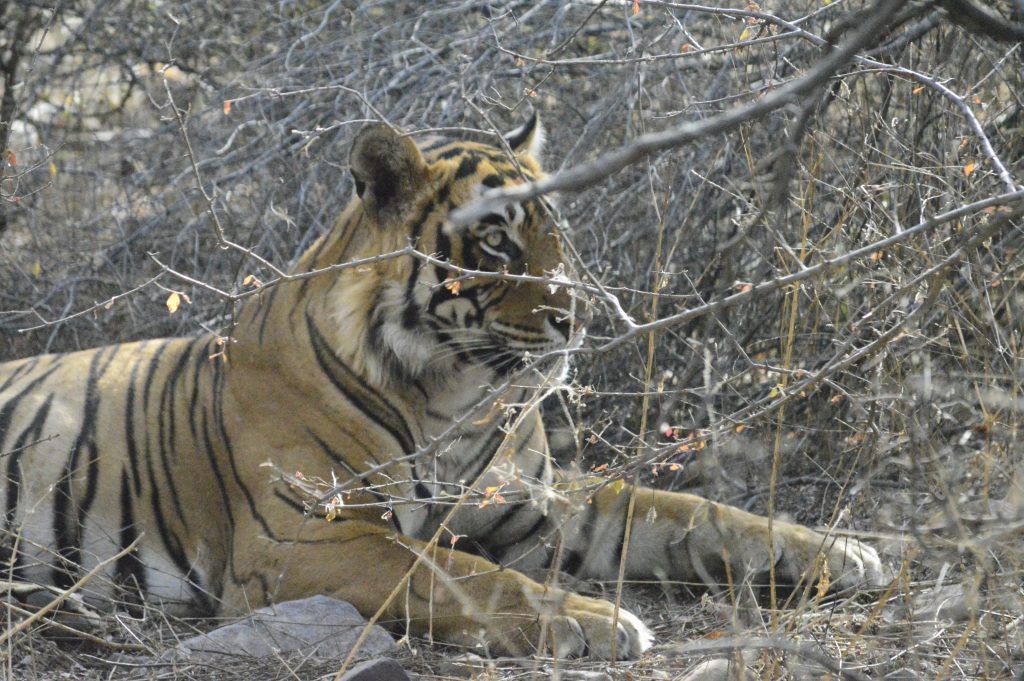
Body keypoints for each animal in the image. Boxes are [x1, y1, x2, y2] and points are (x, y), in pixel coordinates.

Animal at [0, 118, 880, 659]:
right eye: (497, 243)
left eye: (558, 234)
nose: (579, 316)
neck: (456, 391)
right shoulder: (306, 532)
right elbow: (455, 572)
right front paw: (596, 619)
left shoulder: (538, 507)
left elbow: (696, 512)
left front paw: (846, 550)